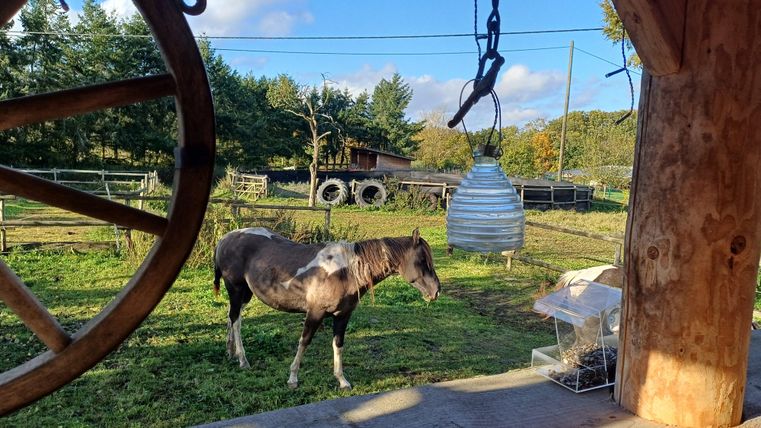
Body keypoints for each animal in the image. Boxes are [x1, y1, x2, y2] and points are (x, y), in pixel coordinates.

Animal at [213, 227, 440, 390]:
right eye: (422, 261)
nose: (436, 291)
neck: (345, 271)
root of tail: (225, 239)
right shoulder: (315, 312)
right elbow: (304, 341)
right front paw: (293, 378)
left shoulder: (343, 315)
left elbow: (338, 344)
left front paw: (342, 380)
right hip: (236, 289)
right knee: (236, 321)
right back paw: (242, 359)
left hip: (245, 294)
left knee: (232, 317)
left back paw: (230, 352)